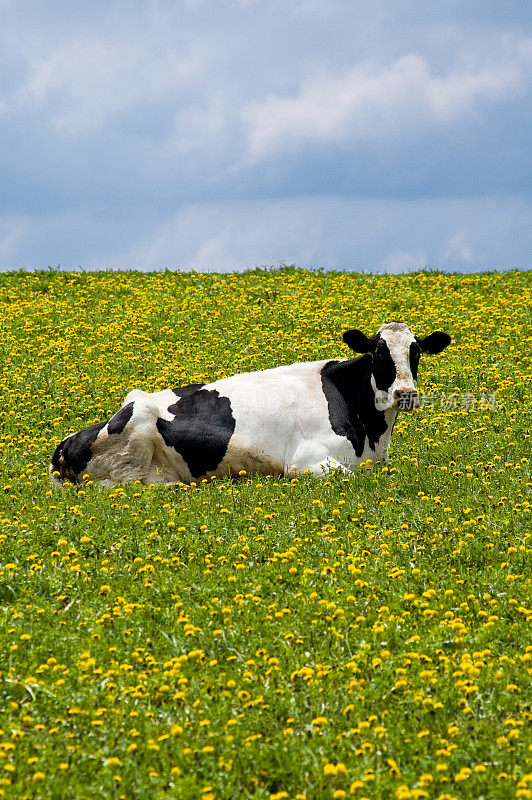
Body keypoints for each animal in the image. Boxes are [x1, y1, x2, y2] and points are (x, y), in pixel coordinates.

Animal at [50, 320, 450, 488]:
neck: (371, 435)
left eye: (415, 352)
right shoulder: (306, 461)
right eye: (379, 352)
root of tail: (65, 443)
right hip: (134, 440)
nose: (405, 393)